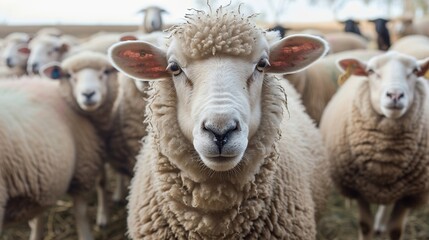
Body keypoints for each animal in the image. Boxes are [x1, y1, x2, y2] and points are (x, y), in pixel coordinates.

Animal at [320, 51, 428, 240]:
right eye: (370, 71)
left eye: (415, 71)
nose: (394, 95)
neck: (385, 160)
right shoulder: (358, 188)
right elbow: (365, 226)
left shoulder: (410, 195)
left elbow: (395, 230)